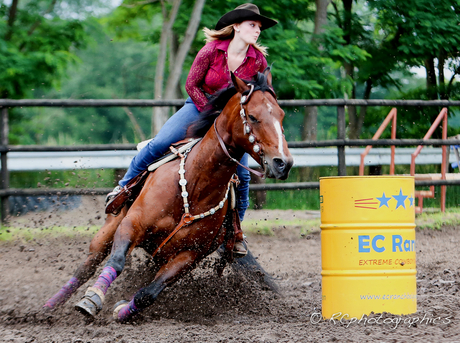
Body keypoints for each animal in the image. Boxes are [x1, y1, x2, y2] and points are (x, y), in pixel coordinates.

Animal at [44, 69, 294, 322]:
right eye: (252, 116)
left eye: (282, 115)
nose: (283, 163)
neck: (195, 184)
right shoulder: (132, 224)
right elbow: (117, 261)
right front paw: (91, 300)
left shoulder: (189, 255)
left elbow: (148, 294)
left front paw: (122, 310)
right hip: (112, 224)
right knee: (88, 265)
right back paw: (49, 306)